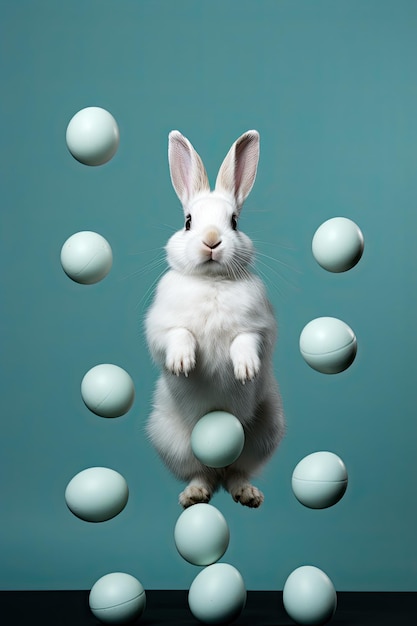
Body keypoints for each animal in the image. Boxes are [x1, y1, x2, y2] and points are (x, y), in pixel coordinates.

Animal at [145, 129, 284, 504]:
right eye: (188, 222)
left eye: (234, 221)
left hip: (265, 433)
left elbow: (245, 341)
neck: (212, 282)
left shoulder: (258, 328)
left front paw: (246, 369)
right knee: (201, 473)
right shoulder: (162, 327)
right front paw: (182, 363)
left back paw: (247, 494)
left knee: (237, 471)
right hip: (173, 441)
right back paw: (194, 495)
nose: (211, 240)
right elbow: (178, 335)